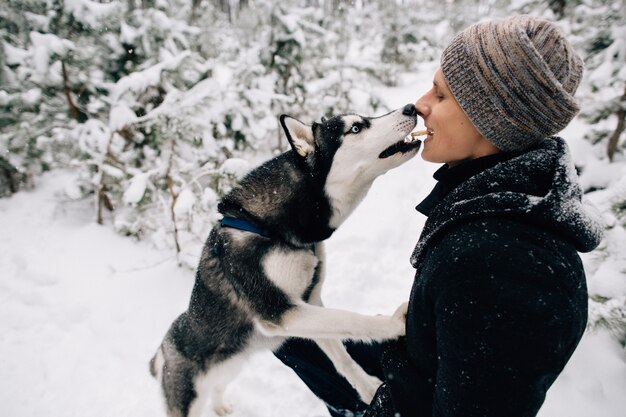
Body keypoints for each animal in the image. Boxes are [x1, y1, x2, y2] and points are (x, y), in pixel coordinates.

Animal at [149, 104, 416, 416]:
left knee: (218, 386)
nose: (410, 107)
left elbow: (341, 353)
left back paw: (221, 406)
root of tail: (162, 349)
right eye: (355, 129)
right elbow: (349, 318)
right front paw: (392, 325)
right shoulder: (280, 311)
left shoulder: (310, 301)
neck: (272, 228)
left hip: (231, 366)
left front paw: (369, 389)